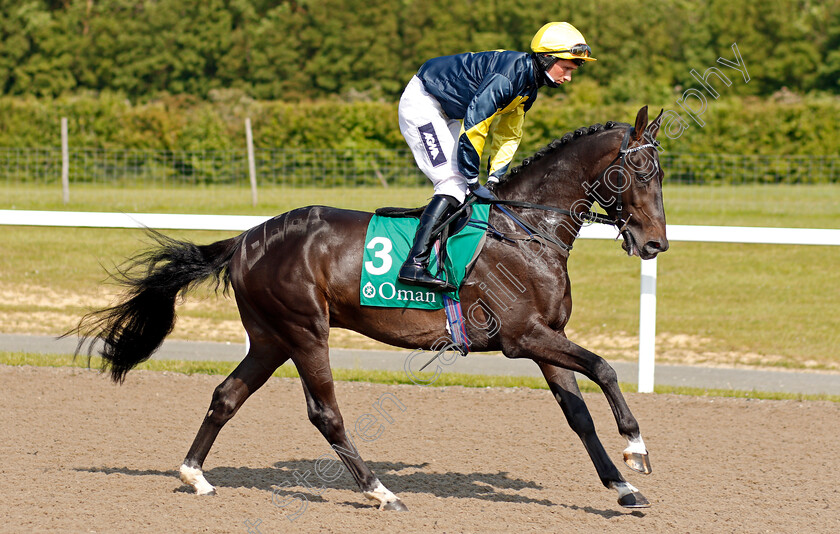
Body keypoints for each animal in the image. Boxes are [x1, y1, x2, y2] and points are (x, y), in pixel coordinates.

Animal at [77, 107, 668, 512]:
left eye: (660, 174)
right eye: (640, 172)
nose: (655, 244)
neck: (526, 230)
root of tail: (245, 239)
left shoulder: (546, 337)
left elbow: (578, 413)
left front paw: (621, 486)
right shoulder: (522, 337)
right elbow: (605, 368)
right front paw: (637, 447)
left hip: (270, 338)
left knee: (226, 396)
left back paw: (195, 474)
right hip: (304, 330)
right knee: (325, 413)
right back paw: (380, 491)